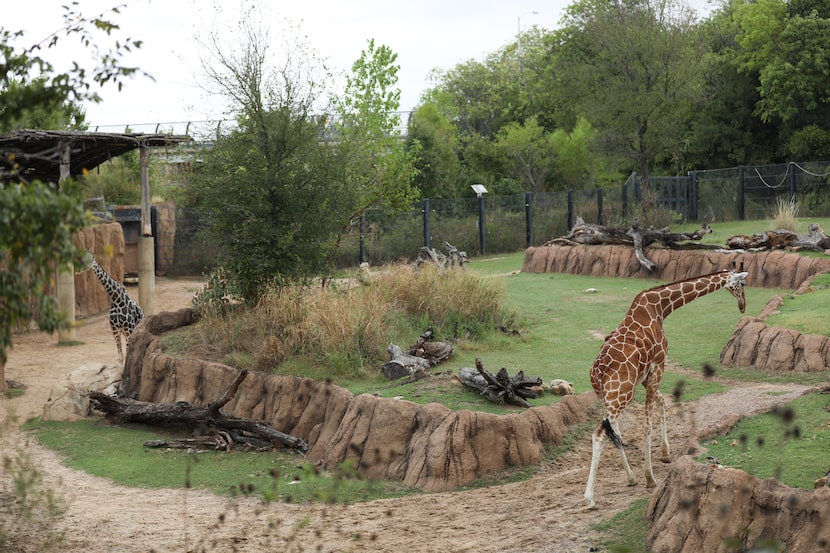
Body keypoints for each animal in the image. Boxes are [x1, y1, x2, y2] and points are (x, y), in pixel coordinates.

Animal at [580, 268, 752, 508]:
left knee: (612, 429)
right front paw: (650, 478)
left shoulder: (646, 375)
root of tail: (597, 371)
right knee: (599, 435)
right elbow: (647, 424)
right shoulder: (659, 364)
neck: (661, 306)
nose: (743, 305)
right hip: (622, 393)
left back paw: (630, 477)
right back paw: (589, 497)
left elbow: (662, 402)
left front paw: (665, 454)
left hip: (607, 395)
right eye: (742, 284)